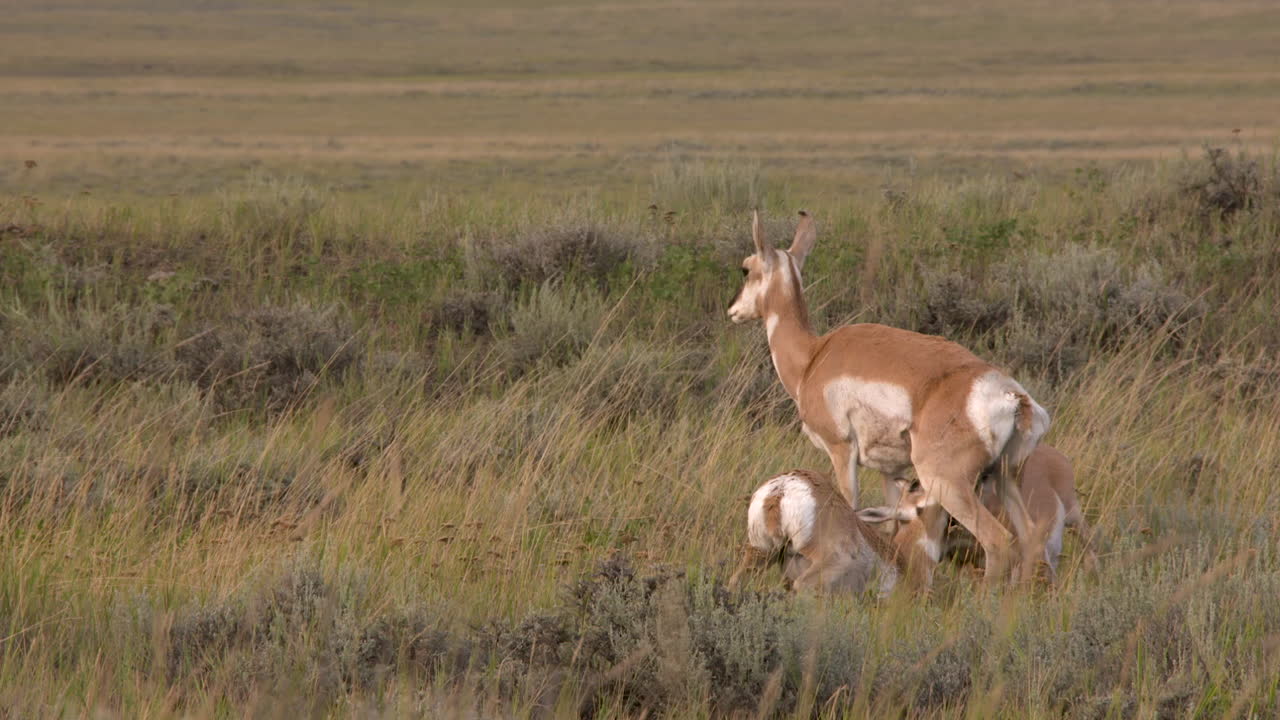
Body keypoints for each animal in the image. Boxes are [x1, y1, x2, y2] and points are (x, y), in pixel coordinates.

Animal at [727, 210, 1050, 582]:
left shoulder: (841, 452)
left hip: (948, 484)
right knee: (1030, 536)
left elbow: (851, 505)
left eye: (745, 268)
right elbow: (892, 519)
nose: (732, 310)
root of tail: (1012, 395)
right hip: (1005, 477)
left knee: (998, 540)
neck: (814, 356)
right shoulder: (890, 471)